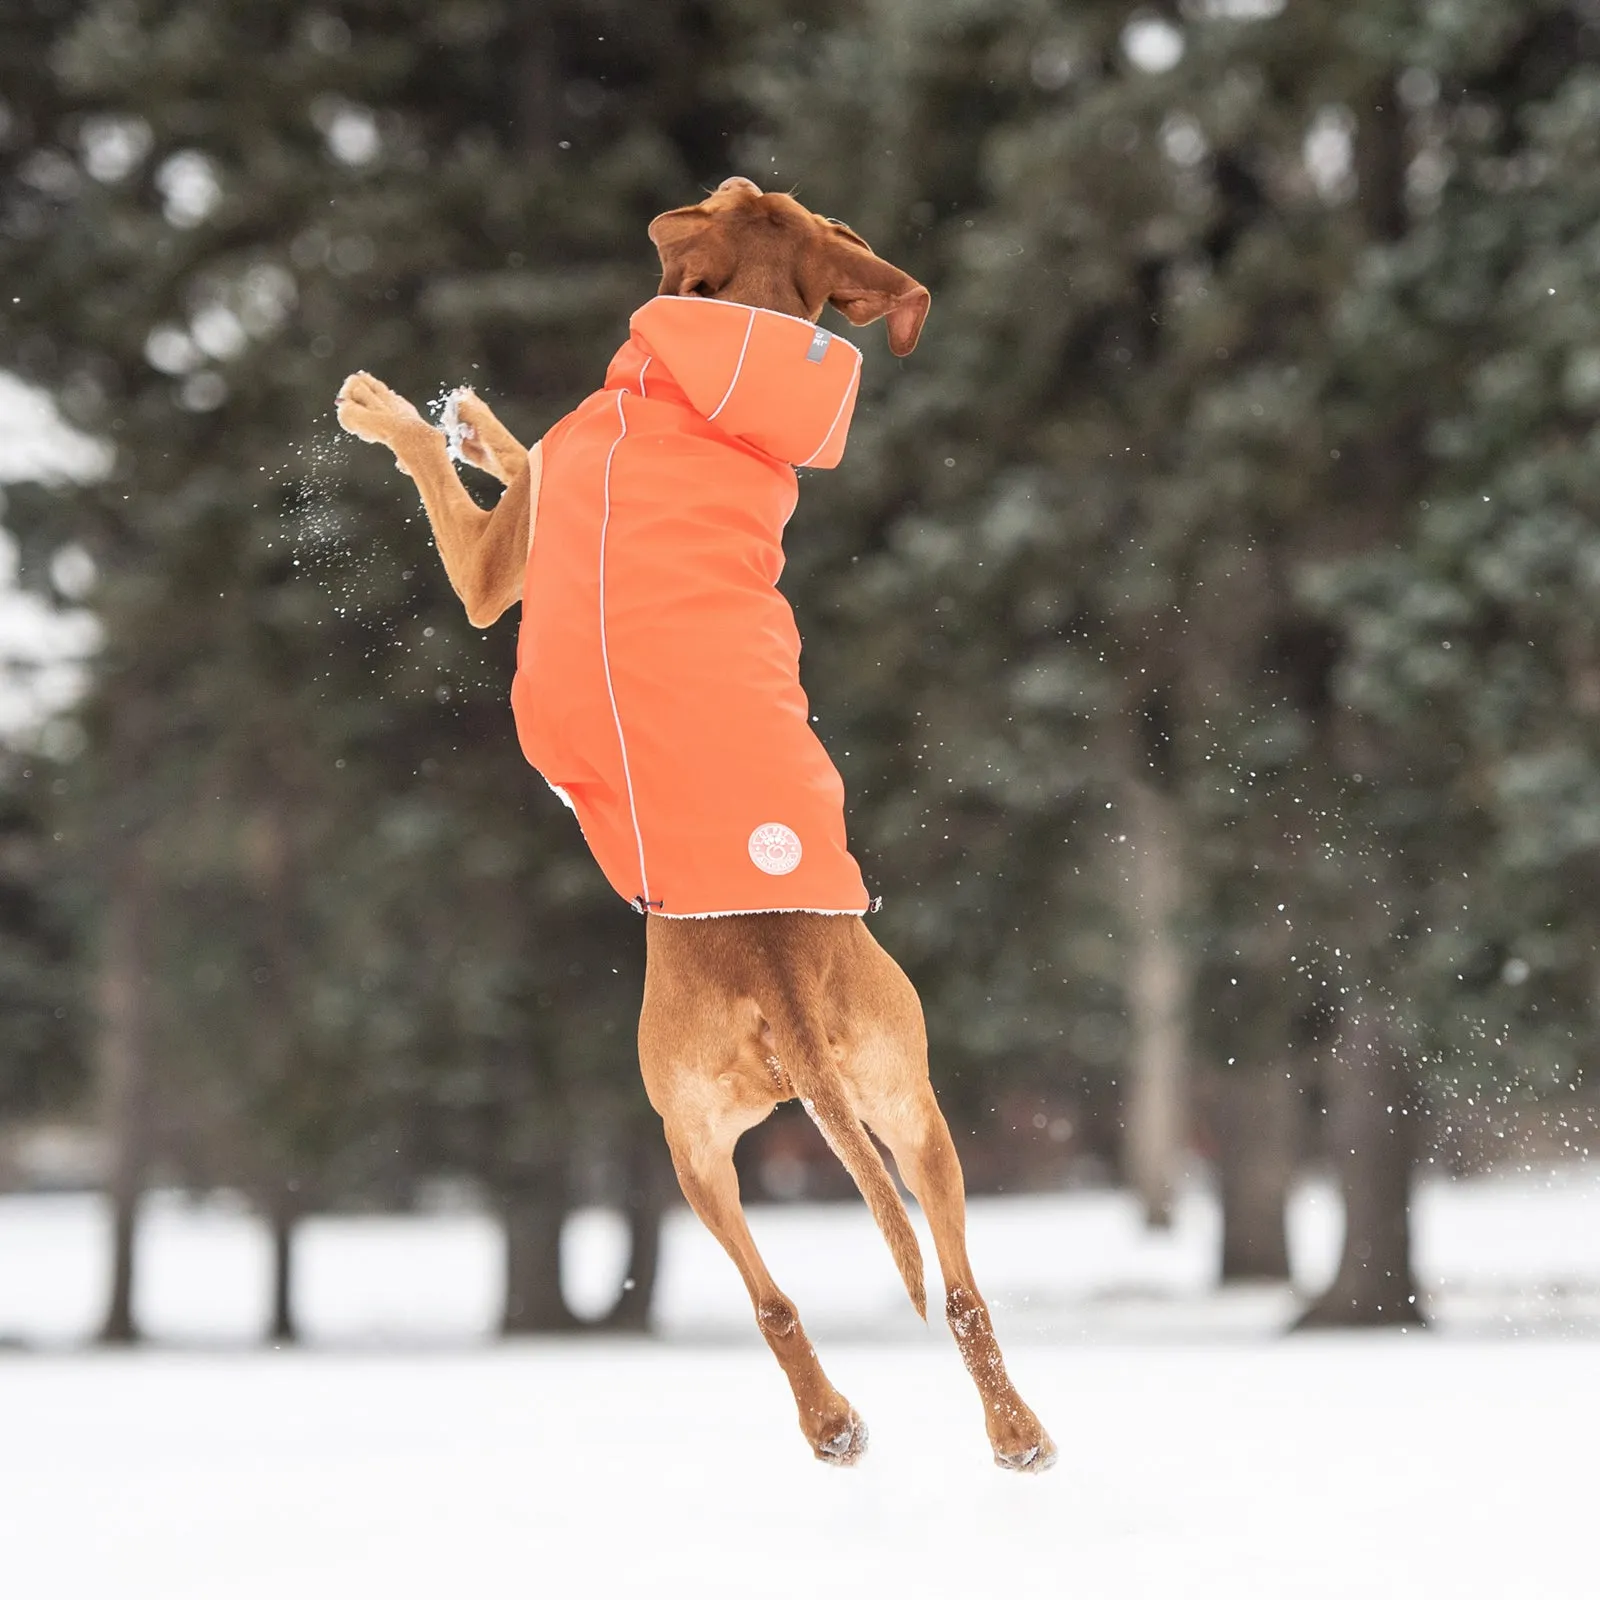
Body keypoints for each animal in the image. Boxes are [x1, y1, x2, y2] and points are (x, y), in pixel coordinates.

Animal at [332, 178, 1056, 1472]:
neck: (711, 382)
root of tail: (777, 970)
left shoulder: (495, 567)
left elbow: (478, 472)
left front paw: (410, 412)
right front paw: (470, 420)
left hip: (685, 1133)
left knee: (770, 1297)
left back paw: (830, 1423)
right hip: (909, 1111)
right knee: (961, 1290)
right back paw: (1013, 1434)